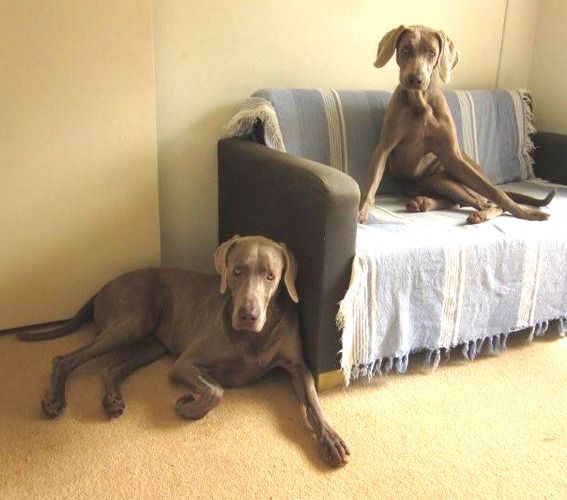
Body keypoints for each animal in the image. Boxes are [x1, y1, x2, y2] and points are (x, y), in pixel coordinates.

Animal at [18, 235, 349, 468]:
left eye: (271, 276)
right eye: (237, 271)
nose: (247, 315)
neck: (255, 336)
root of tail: (102, 287)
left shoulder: (298, 367)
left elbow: (314, 404)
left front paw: (331, 439)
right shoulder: (185, 363)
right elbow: (216, 391)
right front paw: (188, 405)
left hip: (151, 344)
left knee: (111, 368)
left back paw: (112, 400)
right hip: (132, 320)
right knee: (64, 358)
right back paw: (54, 400)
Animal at [358, 25, 554, 225]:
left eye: (432, 52)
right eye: (405, 49)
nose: (415, 79)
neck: (420, 103)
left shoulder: (453, 156)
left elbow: (496, 192)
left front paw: (526, 213)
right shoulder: (384, 147)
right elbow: (371, 186)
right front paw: (361, 213)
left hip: (449, 178)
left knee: (485, 201)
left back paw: (479, 214)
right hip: (430, 182)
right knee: (459, 202)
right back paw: (423, 203)